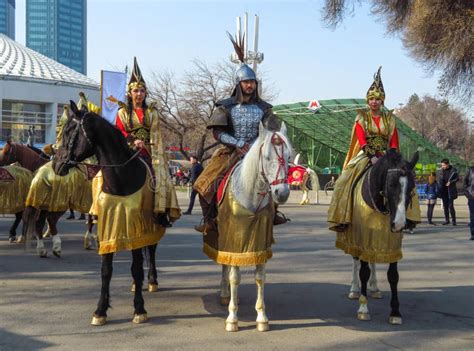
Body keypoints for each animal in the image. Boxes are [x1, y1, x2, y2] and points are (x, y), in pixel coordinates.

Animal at [51, 100, 159, 326]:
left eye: (69, 132)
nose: (56, 165)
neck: (120, 180)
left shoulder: (136, 227)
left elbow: (137, 267)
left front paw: (139, 309)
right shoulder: (108, 226)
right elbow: (106, 271)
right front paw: (100, 310)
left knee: (152, 250)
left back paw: (152, 281)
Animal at [206, 123, 290, 332]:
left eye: (289, 157)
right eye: (267, 157)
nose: (282, 193)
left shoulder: (261, 244)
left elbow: (260, 277)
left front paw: (261, 317)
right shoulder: (233, 240)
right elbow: (234, 277)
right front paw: (232, 319)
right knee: (225, 265)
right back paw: (225, 294)